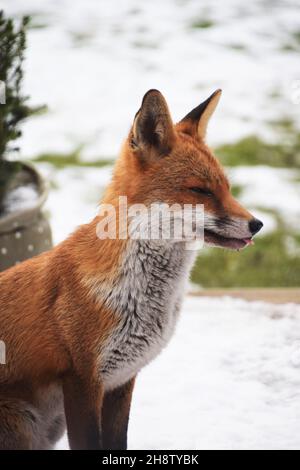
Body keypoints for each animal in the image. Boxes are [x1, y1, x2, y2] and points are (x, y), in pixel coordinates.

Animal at [0, 90, 262, 450]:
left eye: (227, 188)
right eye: (201, 190)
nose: (257, 224)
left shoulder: (121, 380)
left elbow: (118, 440)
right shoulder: (82, 380)